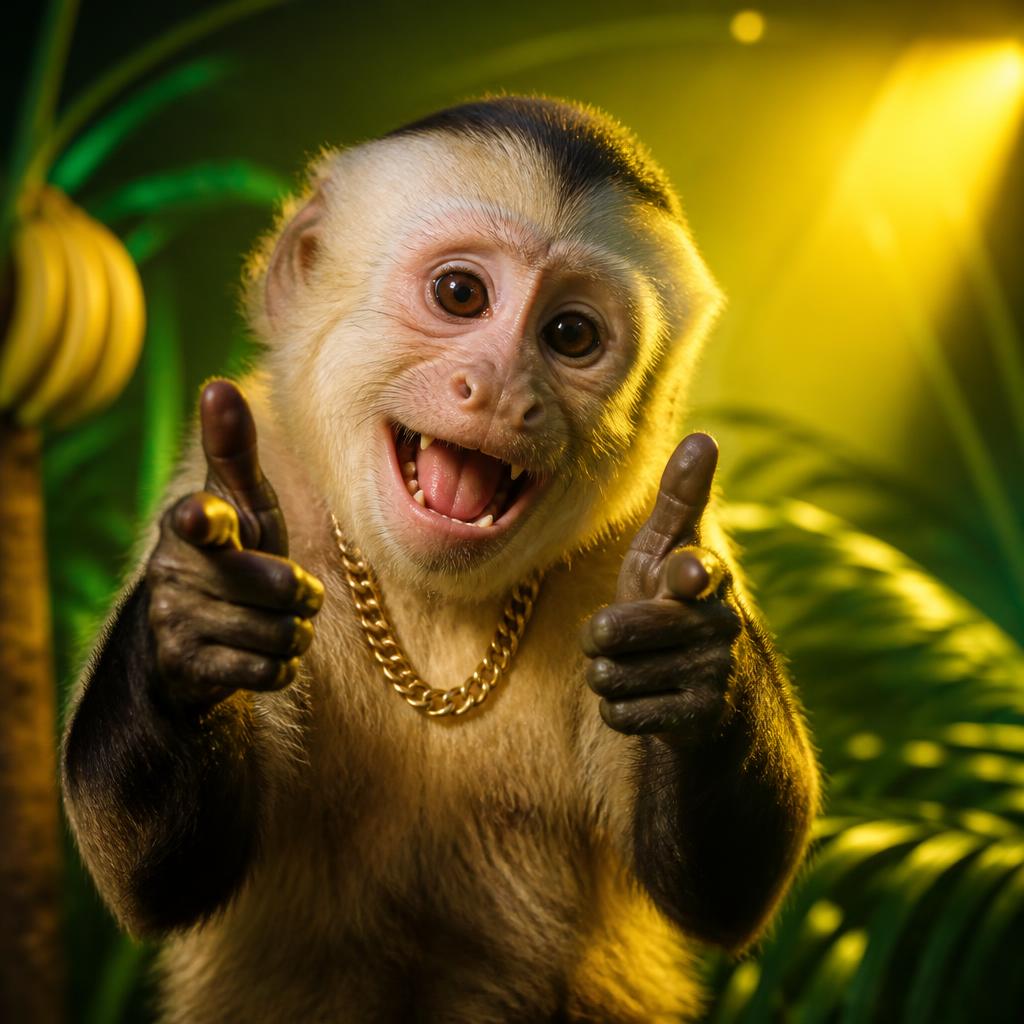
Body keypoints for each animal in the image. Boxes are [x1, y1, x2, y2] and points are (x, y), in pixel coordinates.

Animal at [61, 96, 819, 1023]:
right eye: (461, 294)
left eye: (570, 334)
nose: (499, 389)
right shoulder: (249, 470)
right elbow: (162, 869)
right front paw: (197, 632)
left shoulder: (651, 535)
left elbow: (719, 888)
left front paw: (692, 672)